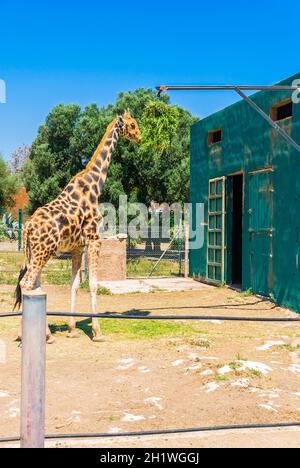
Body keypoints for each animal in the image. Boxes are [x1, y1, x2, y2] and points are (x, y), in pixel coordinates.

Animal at [13, 111, 141, 342]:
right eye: (132, 124)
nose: (140, 137)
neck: (95, 184)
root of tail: (27, 227)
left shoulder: (77, 248)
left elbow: (74, 284)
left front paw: (72, 329)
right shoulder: (94, 240)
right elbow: (93, 284)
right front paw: (97, 332)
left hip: (35, 253)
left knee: (33, 285)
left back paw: (45, 334)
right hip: (43, 252)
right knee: (26, 283)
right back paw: (30, 335)